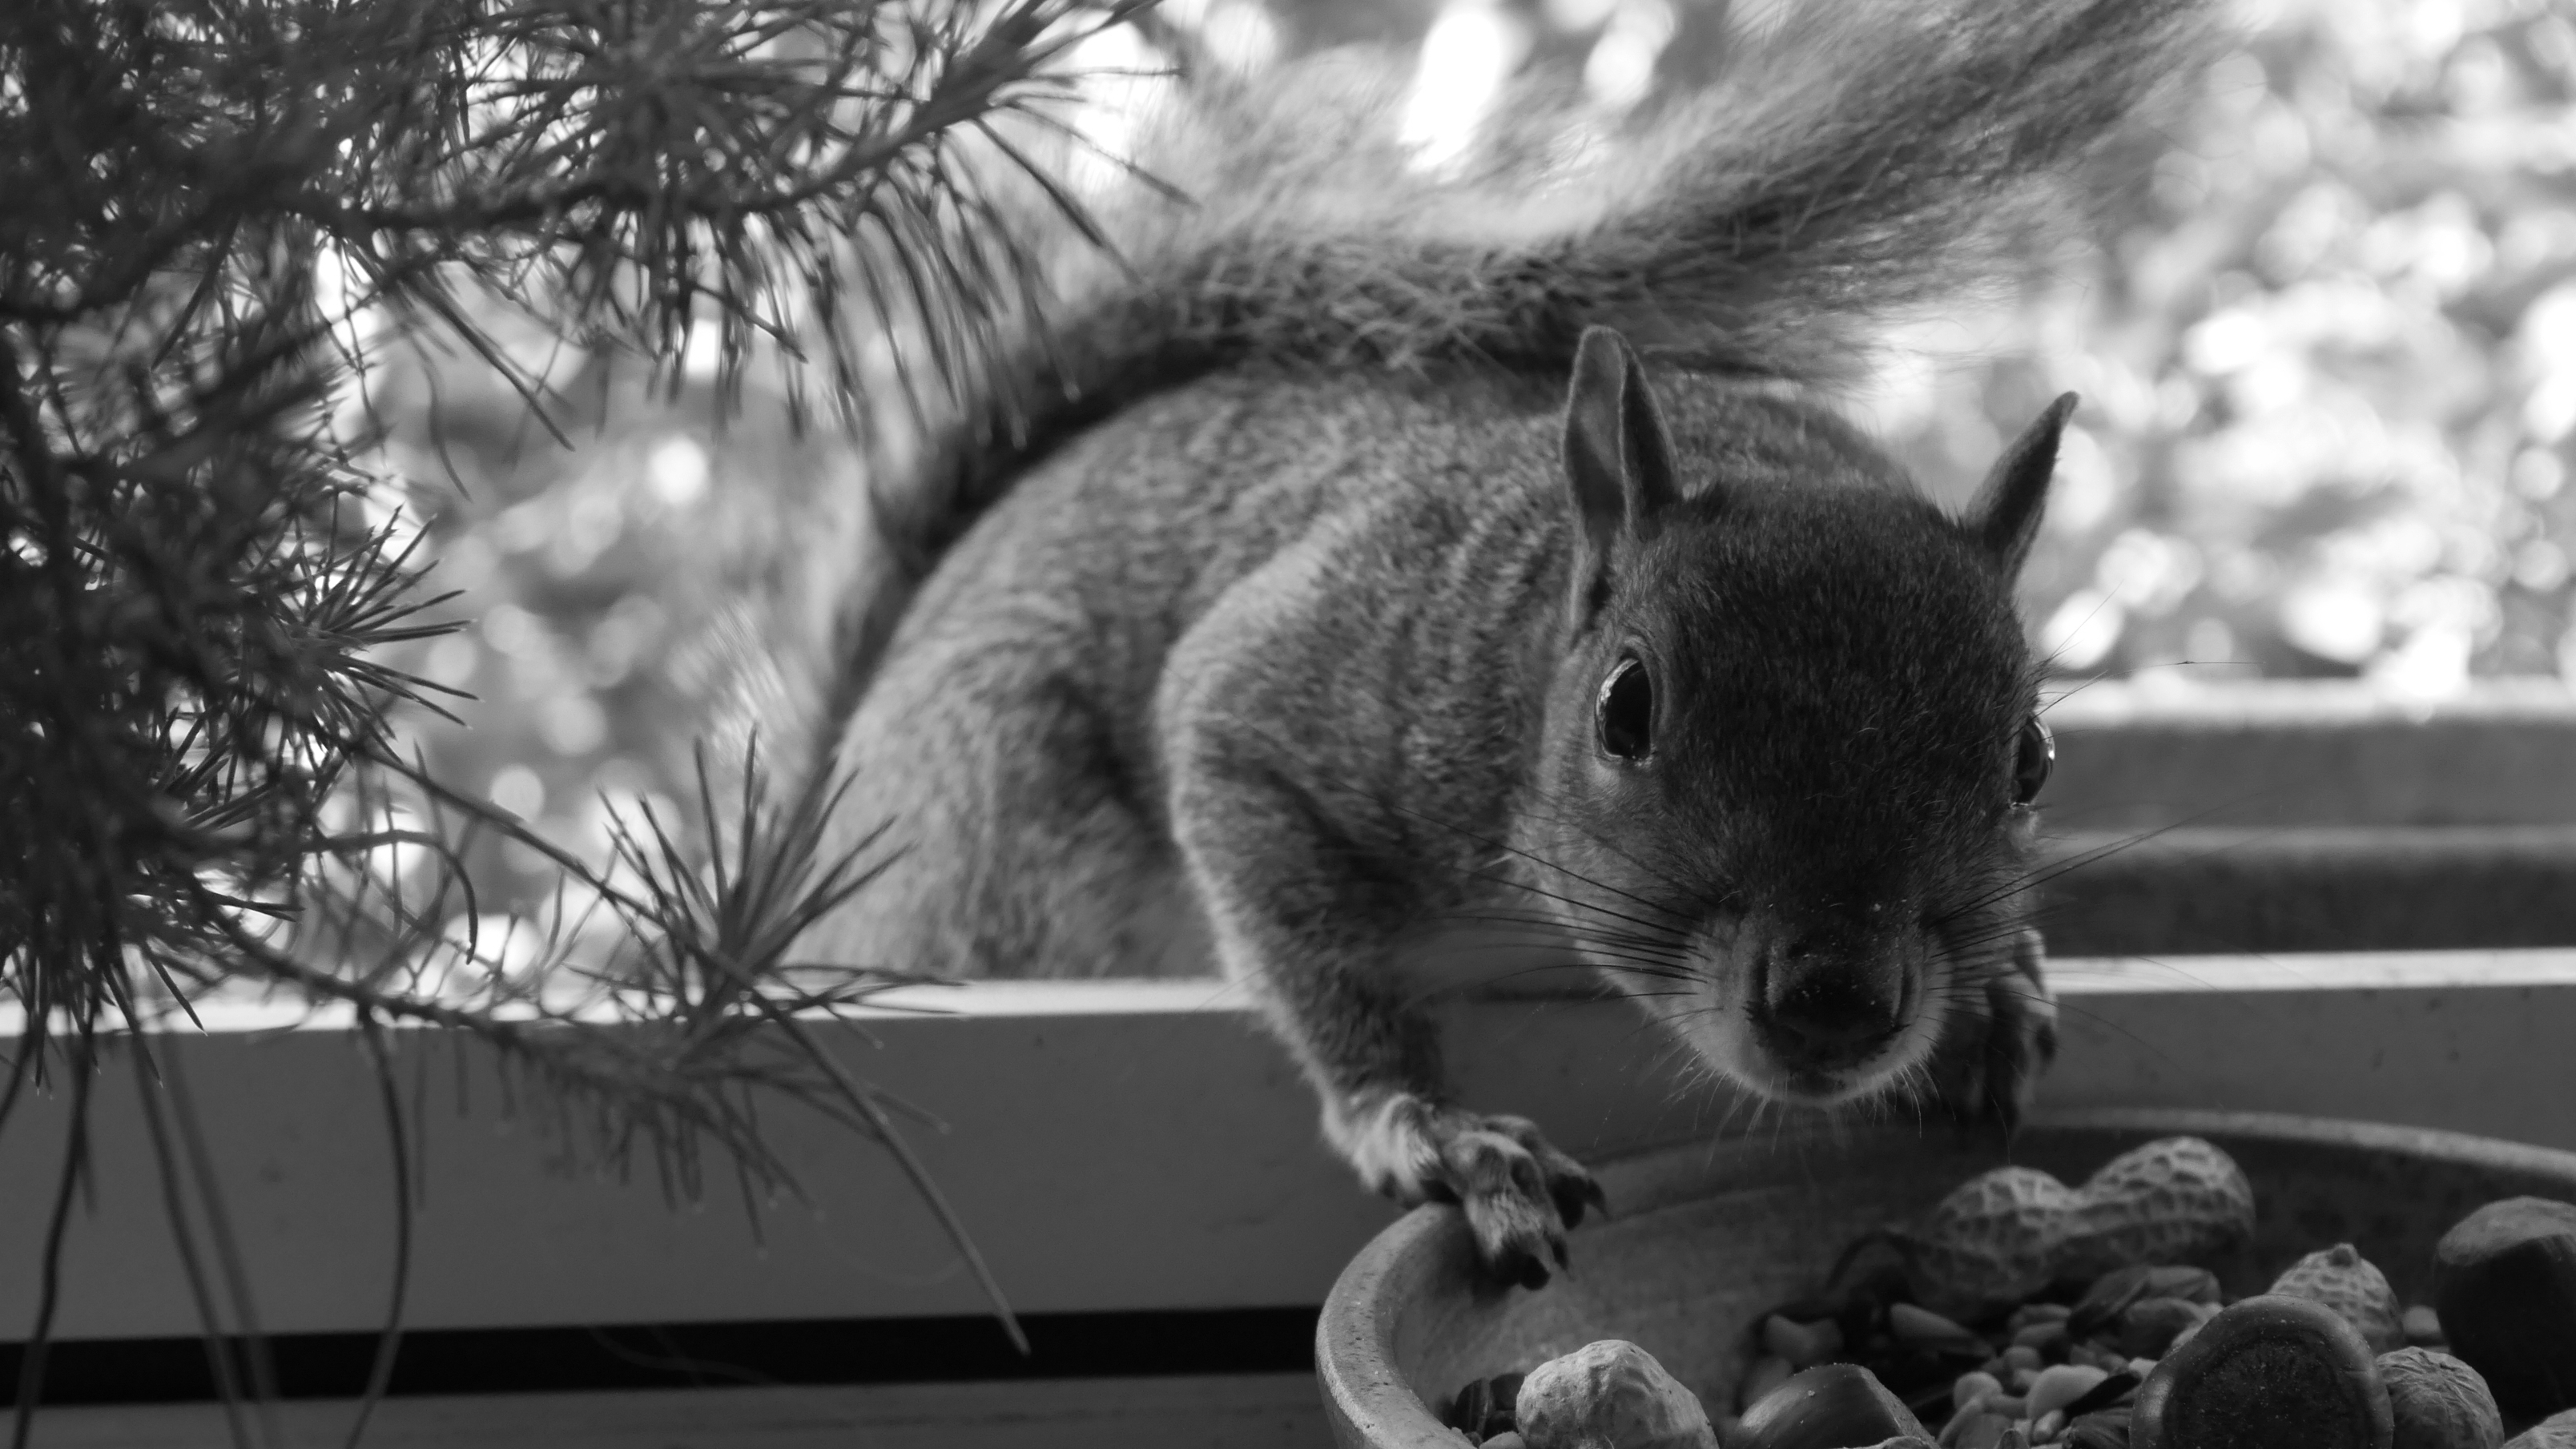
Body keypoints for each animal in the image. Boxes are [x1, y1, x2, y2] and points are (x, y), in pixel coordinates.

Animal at [781, 0, 2214, 1287]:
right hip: (1003, 820)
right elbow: (1294, 918)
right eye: (1626, 710)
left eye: (2031, 761)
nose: (1835, 1002)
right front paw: (1429, 1125)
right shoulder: (1282, 702)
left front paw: (2004, 986)